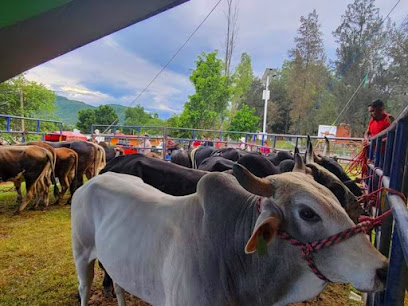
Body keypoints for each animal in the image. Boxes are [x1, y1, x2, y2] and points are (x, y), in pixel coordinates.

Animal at [71, 159, 388, 304]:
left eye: (332, 196)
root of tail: (96, 178)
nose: (383, 268)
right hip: (81, 255)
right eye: (307, 213)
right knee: (85, 287)